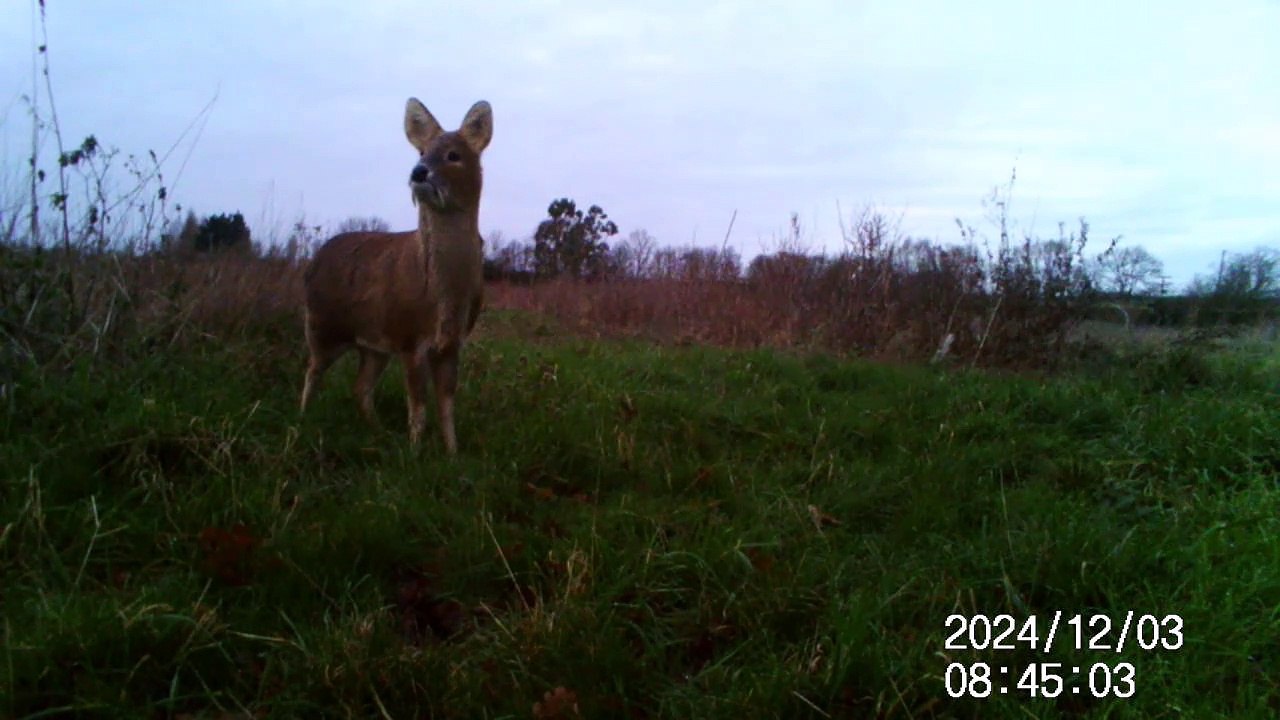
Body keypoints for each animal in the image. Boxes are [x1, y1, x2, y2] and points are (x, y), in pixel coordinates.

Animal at [300, 98, 492, 455]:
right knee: (312, 370)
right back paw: (303, 418)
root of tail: (312, 260)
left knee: (359, 387)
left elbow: (446, 405)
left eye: (453, 155)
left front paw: (452, 453)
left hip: (373, 343)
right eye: (421, 152)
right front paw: (414, 453)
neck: (442, 294)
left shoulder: (451, 342)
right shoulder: (409, 337)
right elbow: (418, 406)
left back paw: (377, 432)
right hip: (320, 324)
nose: (418, 171)